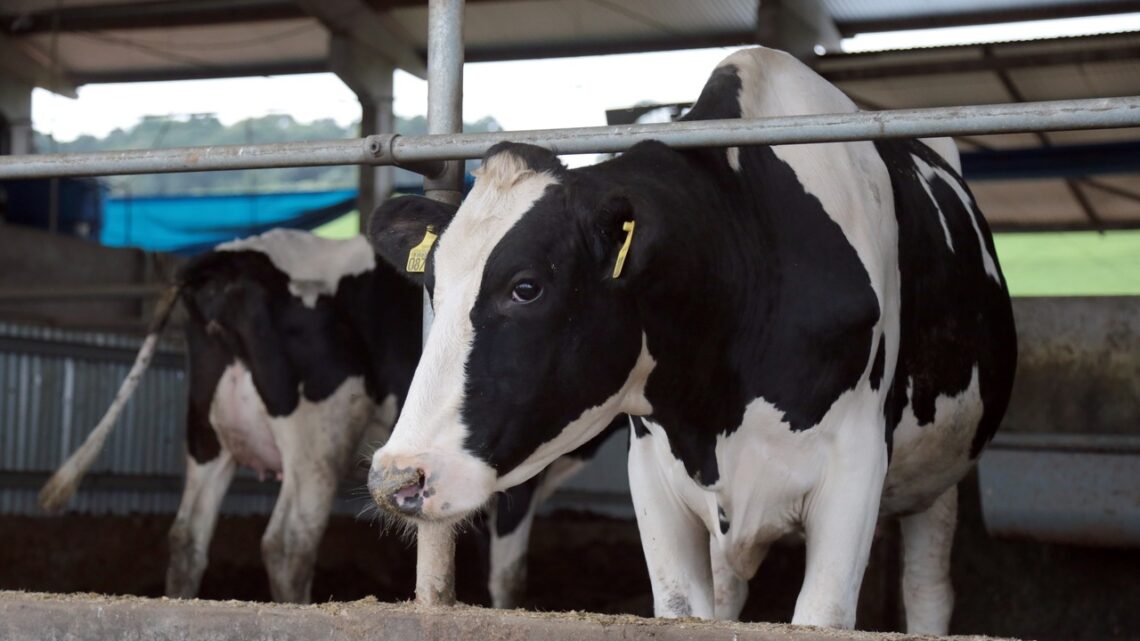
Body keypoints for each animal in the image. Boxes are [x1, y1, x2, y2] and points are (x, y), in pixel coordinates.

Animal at [364, 47, 1016, 629]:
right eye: (432, 285)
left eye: (526, 287)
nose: (397, 478)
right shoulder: (654, 475)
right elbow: (683, 610)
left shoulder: (854, 467)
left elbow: (825, 613)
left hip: (939, 473)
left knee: (927, 589)